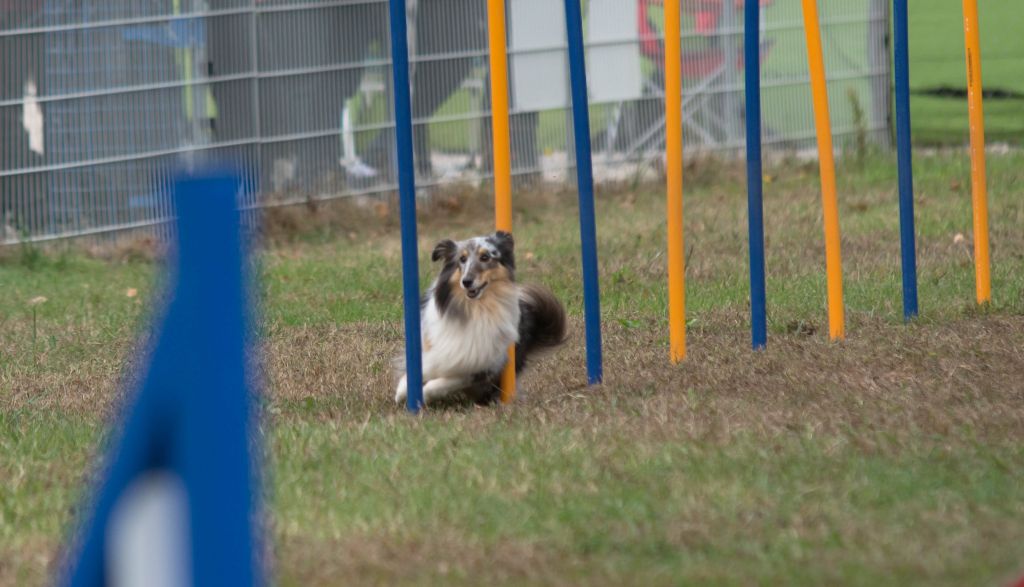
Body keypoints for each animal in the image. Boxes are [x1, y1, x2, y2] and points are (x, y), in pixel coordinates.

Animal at [394, 231, 566, 406]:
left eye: (485, 257)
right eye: (462, 259)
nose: (466, 282)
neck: (475, 309)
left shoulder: (481, 366)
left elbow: (442, 383)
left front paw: (422, 395)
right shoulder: (432, 348)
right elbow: (419, 370)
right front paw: (402, 392)